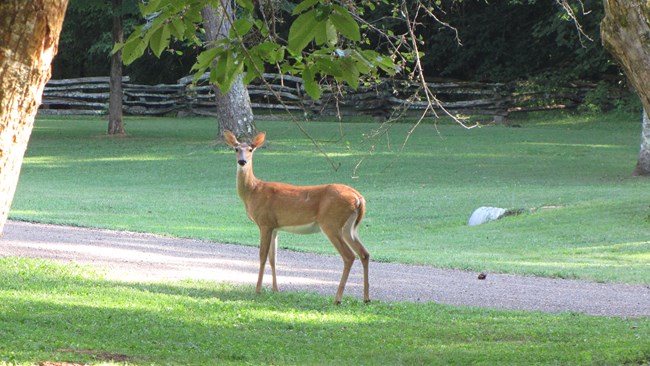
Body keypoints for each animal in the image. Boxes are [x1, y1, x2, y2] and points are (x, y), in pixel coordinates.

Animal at [223, 130, 368, 304]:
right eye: (236, 149)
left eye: (250, 149)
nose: (242, 161)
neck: (253, 191)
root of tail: (358, 198)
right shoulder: (275, 227)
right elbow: (273, 258)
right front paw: (275, 290)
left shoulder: (264, 222)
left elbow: (262, 256)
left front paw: (258, 290)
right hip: (350, 227)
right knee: (364, 253)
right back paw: (366, 299)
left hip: (331, 223)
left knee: (349, 256)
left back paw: (337, 299)